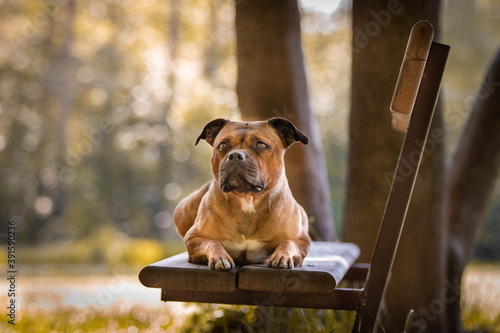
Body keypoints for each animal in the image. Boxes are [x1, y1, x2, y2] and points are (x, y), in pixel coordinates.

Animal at [174, 116, 310, 270]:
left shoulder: (302, 240)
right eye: (222, 145)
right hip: (183, 210)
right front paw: (221, 258)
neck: (247, 199)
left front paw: (281, 256)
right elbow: (212, 242)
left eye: (261, 145)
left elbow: (288, 242)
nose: (234, 155)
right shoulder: (193, 238)